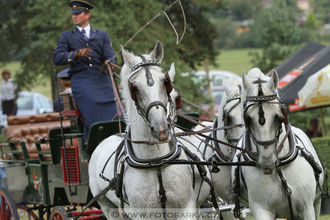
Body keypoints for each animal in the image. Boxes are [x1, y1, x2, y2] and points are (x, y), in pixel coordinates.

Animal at [89, 40, 210, 218]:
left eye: (165, 82)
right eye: (134, 87)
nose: (161, 129)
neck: (156, 161)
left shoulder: (186, 208)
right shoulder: (140, 214)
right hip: (108, 207)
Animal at [235, 68, 324, 219]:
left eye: (278, 117)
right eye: (249, 119)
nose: (267, 162)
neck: (279, 168)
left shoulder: (307, 208)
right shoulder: (262, 210)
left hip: (316, 203)